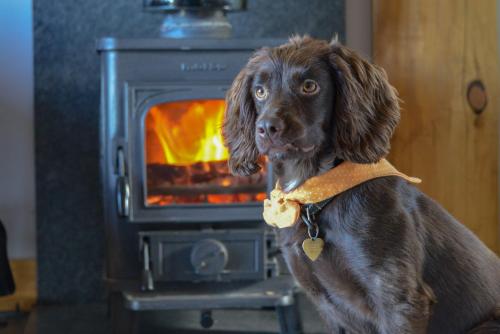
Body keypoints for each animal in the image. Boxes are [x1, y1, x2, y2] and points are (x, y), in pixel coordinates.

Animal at [223, 35, 500, 332]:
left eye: (309, 86)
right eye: (260, 91)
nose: (266, 128)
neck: (316, 199)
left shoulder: (399, 299)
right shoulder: (326, 305)